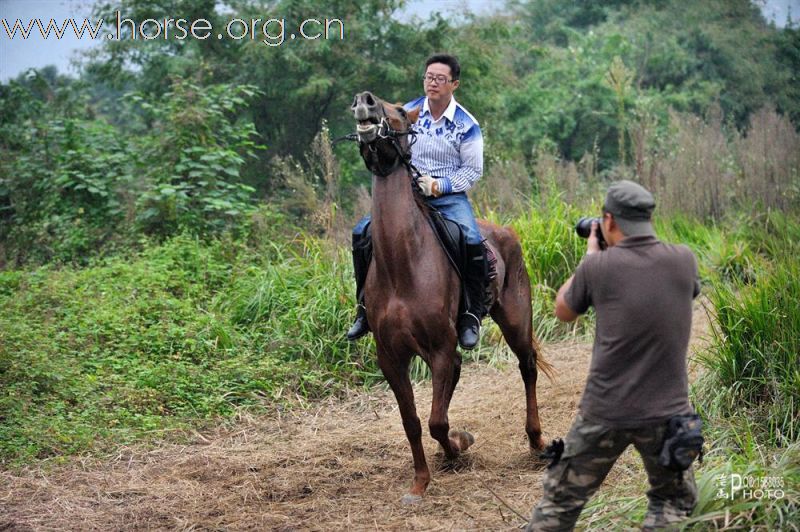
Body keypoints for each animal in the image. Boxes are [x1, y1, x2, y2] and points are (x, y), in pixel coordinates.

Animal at [354, 90, 552, 502]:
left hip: (515, 321)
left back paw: (537, 441)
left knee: (527, 367)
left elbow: (437, 422)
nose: (364, 101)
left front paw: (459, 446)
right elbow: (413, 421)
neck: (403, 263)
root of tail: (506, 232)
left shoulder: (441, 348)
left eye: (400, 112)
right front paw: (420, 481)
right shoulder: (391, 357)